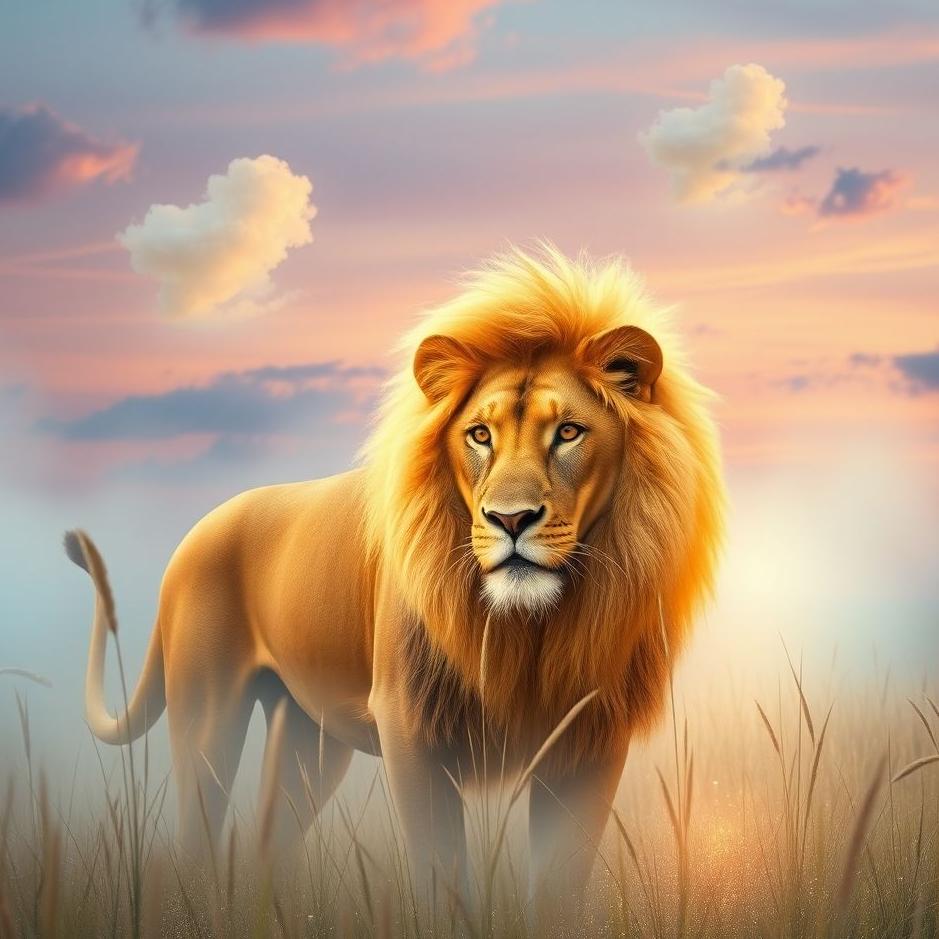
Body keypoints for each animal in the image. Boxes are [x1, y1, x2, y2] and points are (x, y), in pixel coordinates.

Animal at [66, 245, 725, 913]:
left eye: (568, 431)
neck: (527, 628)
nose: (511, 519)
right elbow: (441, 879)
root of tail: (198, 529)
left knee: (270, 840)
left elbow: (557, 888)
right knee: (198, 837)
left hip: (309, 732)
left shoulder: (590, 739)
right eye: (479, 434)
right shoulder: (412, 728)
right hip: (208, 711)